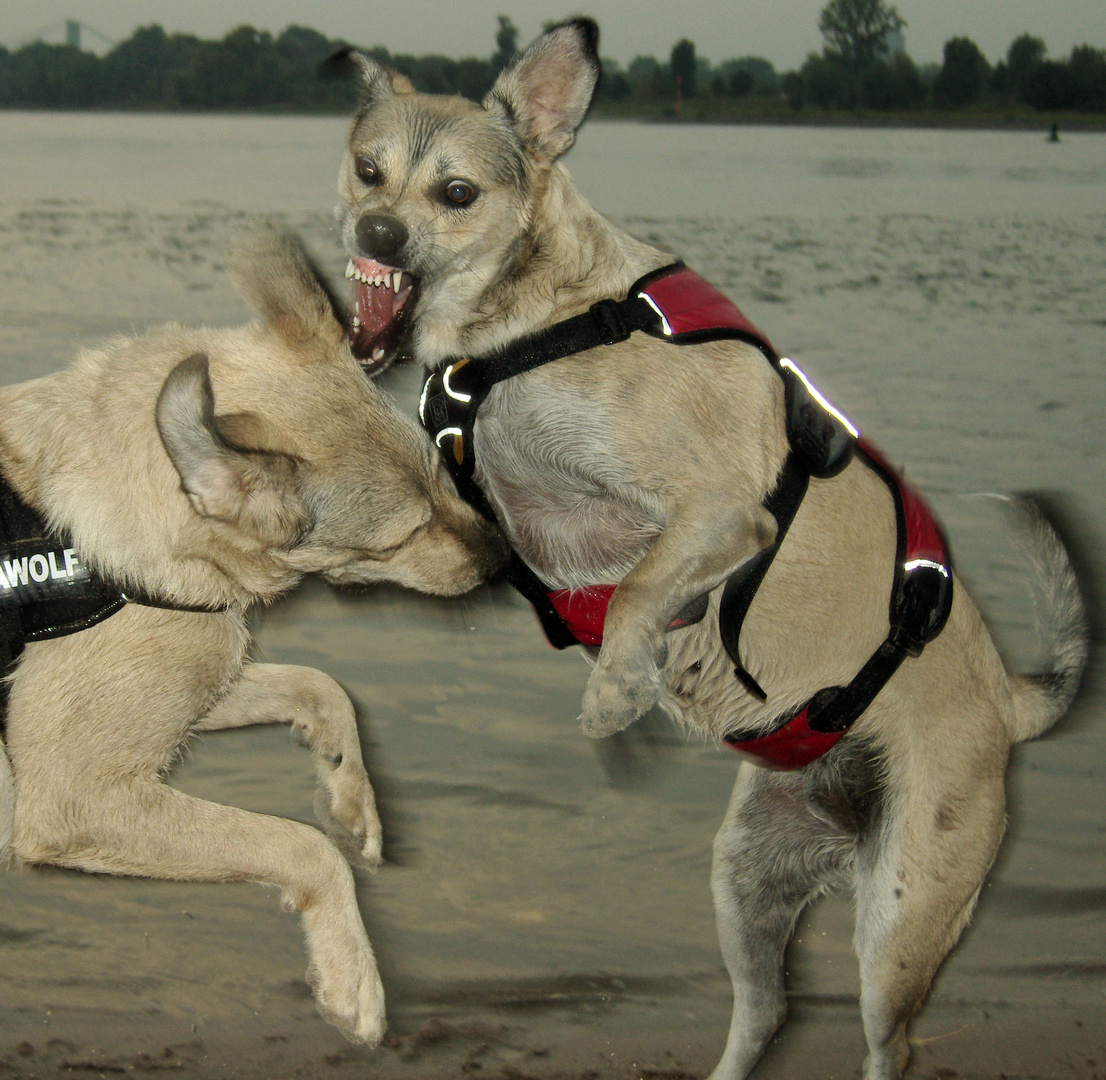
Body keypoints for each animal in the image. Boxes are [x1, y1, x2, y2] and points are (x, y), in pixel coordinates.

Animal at [0, 225, 506, 1044]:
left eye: (441, 472)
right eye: (400, 537)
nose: (502, 561)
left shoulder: (200, 684)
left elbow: (324, 689)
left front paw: (348, 791)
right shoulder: (78, 797)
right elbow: (298, 845)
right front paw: (352, 975)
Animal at [334, 18, 1088, 1080]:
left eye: (457, 194)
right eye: (368, 171)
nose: (374, 236)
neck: (530, 330)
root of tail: (1008, 705)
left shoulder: (724, 516)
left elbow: (642, 590)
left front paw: (617, 691)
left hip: (902, 919)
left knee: (887, 1043)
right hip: (749, 880)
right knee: (764, 1012)